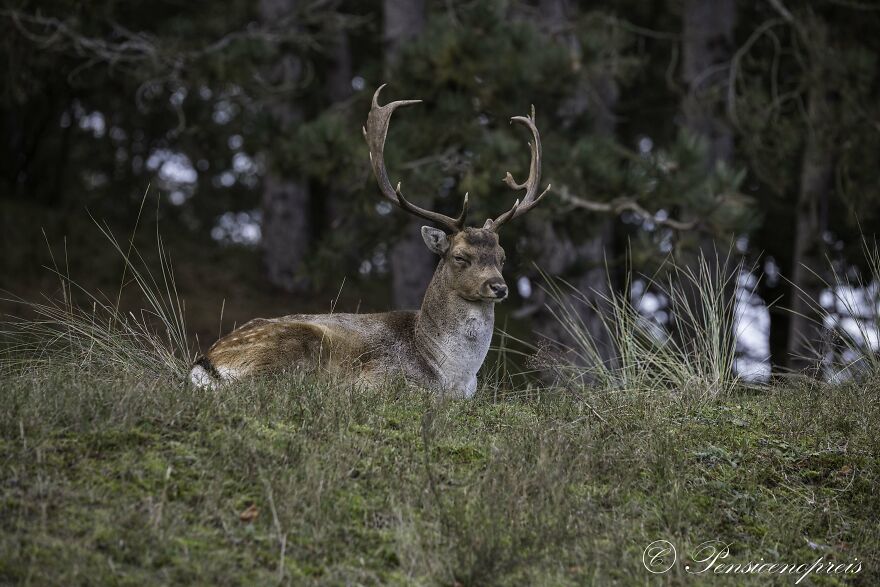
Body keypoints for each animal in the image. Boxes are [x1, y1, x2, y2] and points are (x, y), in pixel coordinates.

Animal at [189, 85, 551, 396]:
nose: (499, 287)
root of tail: (206, 362)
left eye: (502, 257)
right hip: (292, 349)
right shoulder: (381, 378)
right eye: (460, 256)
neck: (452, 375)